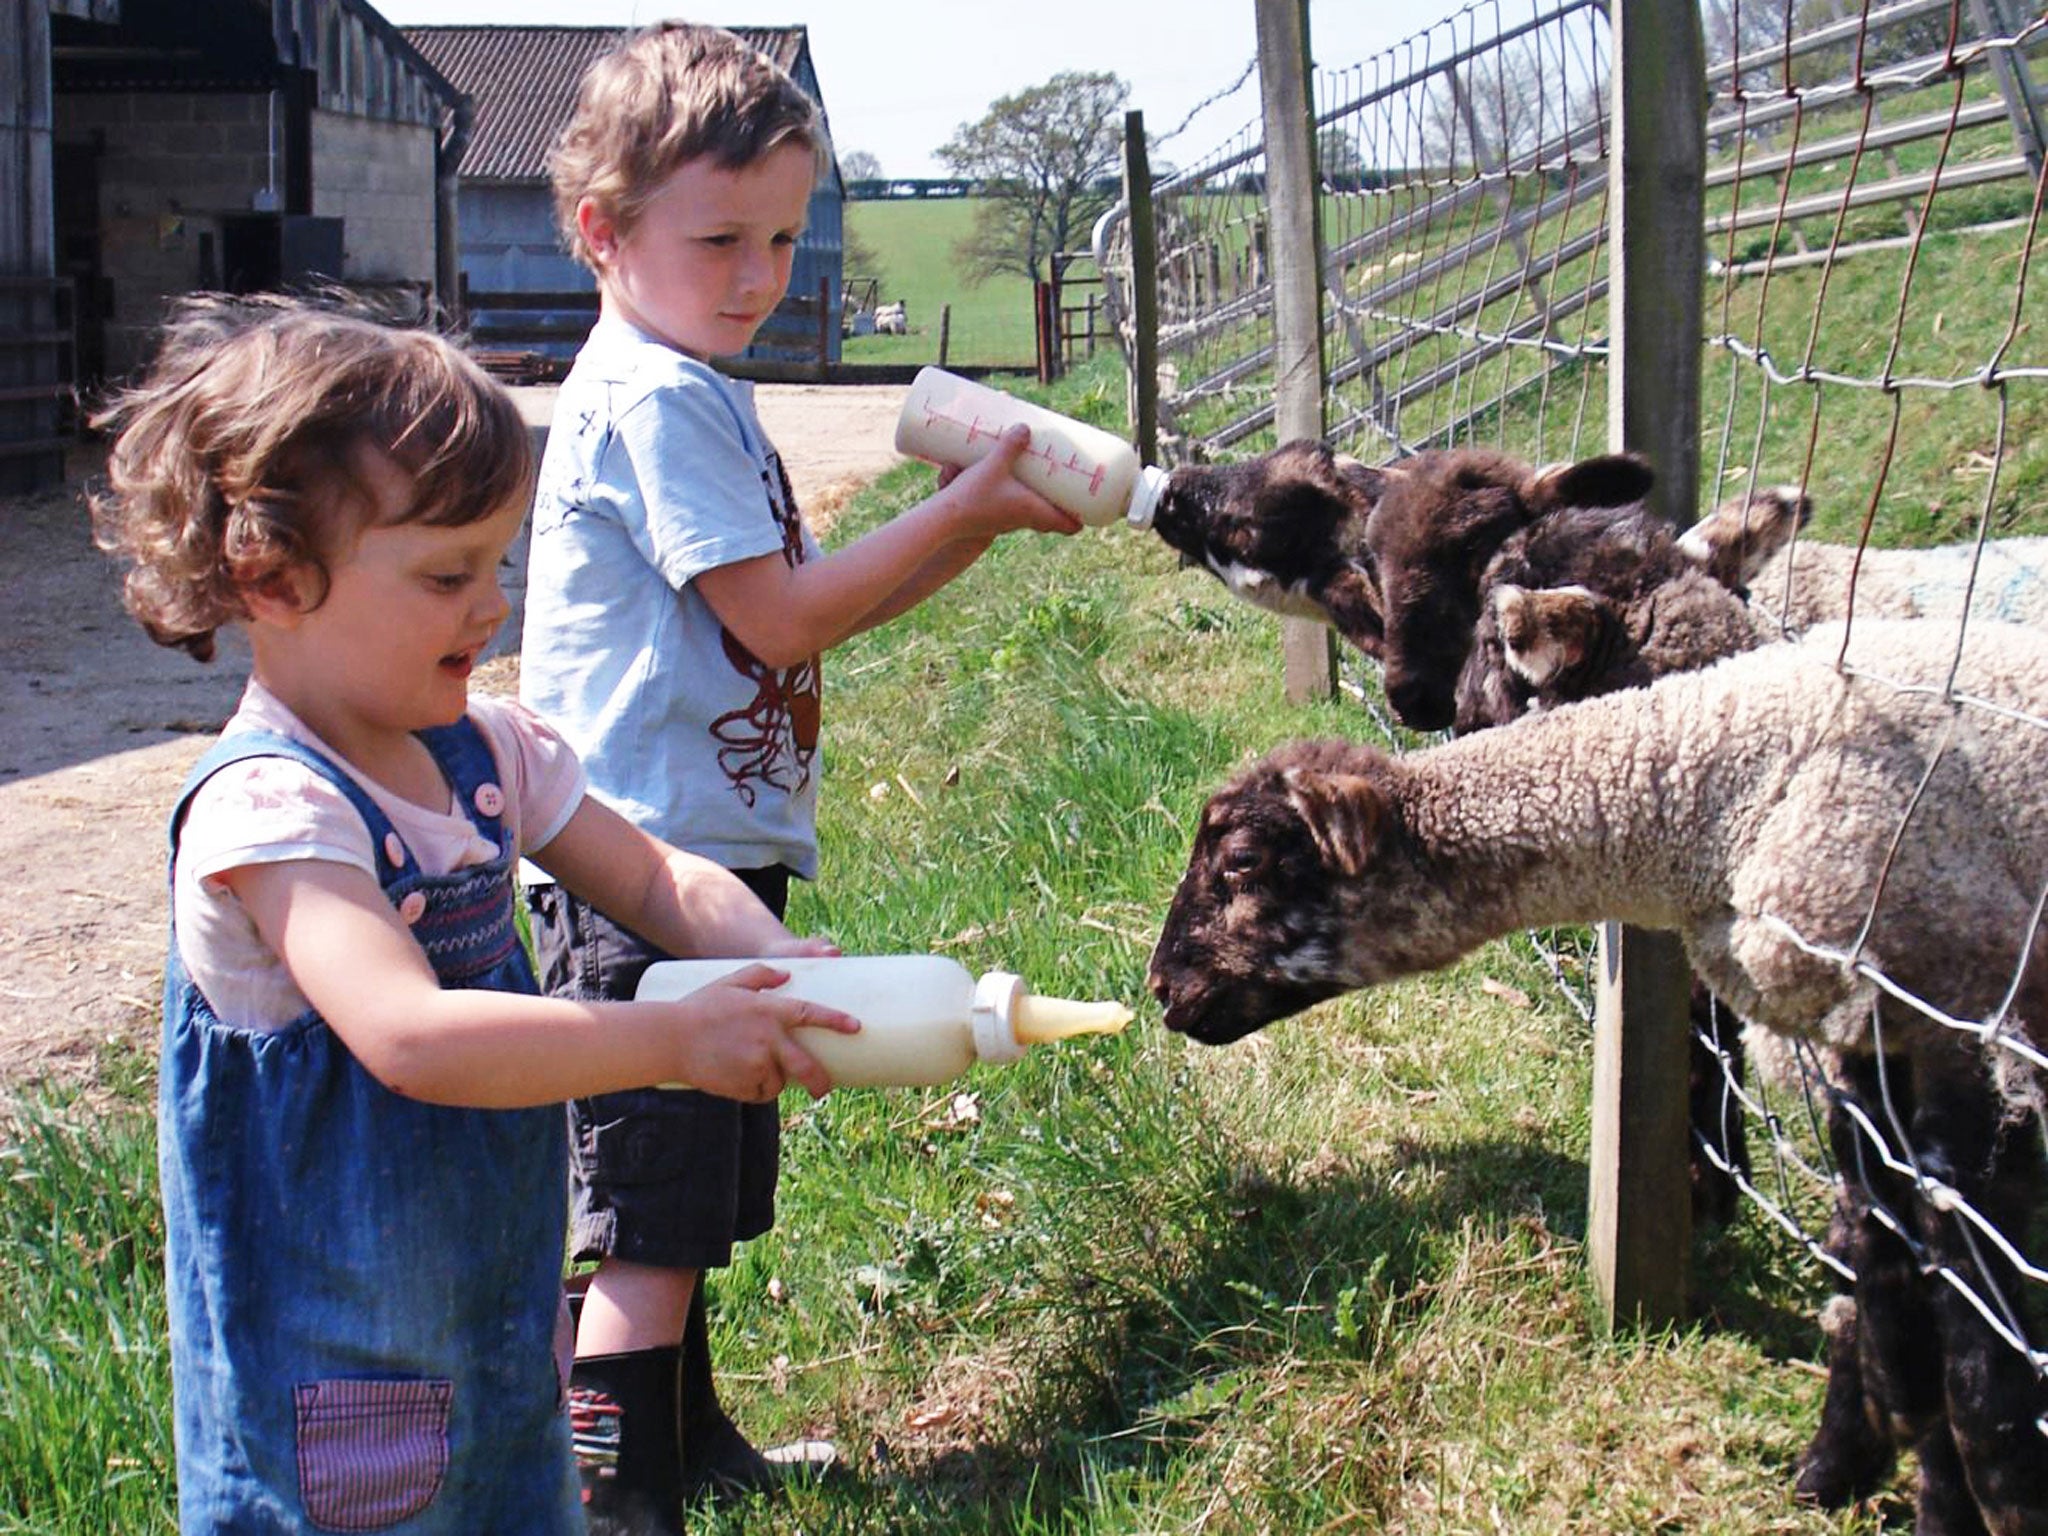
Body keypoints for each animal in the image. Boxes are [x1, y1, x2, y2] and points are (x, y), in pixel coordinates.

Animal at [1155, 622, 2048, 1536]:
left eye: (1242, 861)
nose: (1160, 989)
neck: (1716, 792)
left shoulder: (1956, 1002)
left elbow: (1970, 1309)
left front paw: (1984, 1486)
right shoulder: (1873, 1039)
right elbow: (1879, 1249)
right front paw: (1851, 1455)